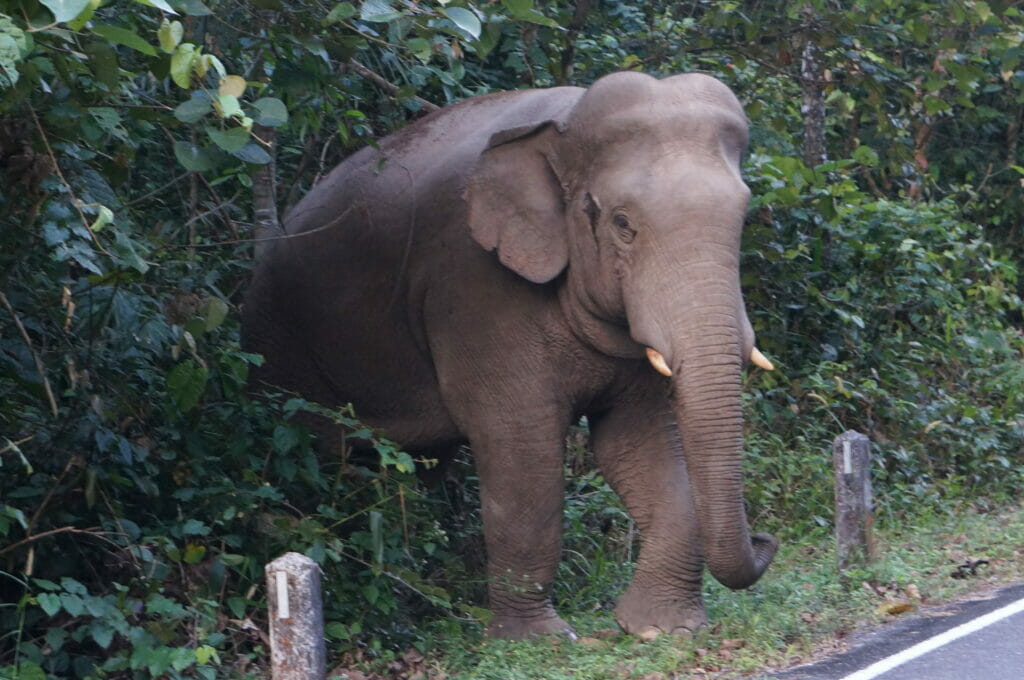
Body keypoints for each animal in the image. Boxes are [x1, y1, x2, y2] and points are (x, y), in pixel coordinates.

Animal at [243, 71, 778, 639]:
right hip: (279, 350)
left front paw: (663, 629)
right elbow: (521, 444)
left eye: (744, 216)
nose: (766, 540)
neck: (562, 126)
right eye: (622, 223)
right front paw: (539, 640)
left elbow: (638, 440)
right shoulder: (473, 289)